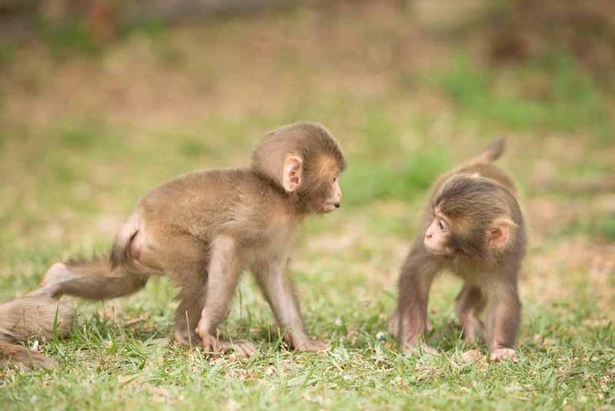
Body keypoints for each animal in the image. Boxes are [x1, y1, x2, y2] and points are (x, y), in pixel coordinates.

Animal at [36, 122, 346, 358]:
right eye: (333, 179)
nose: (340, 197)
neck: (281, 197)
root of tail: (139, 216)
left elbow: (274, 276)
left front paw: (302, 341)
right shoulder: (259, 214)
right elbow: (226, 243)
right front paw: (208, 328)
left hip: (143, 249)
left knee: (129, 279)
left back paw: (56, 278)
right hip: (165, 240)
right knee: (198, 268)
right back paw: (189, 336)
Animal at [392, 139, 528, 364]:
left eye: (442, 226)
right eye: (434, 218)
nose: (429, 234)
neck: (464, 251)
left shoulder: (504, 257)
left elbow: (503, 298)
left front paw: (501, 348)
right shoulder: (431, 250)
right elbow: (415, 275)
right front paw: (414, 344)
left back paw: (466, 313)